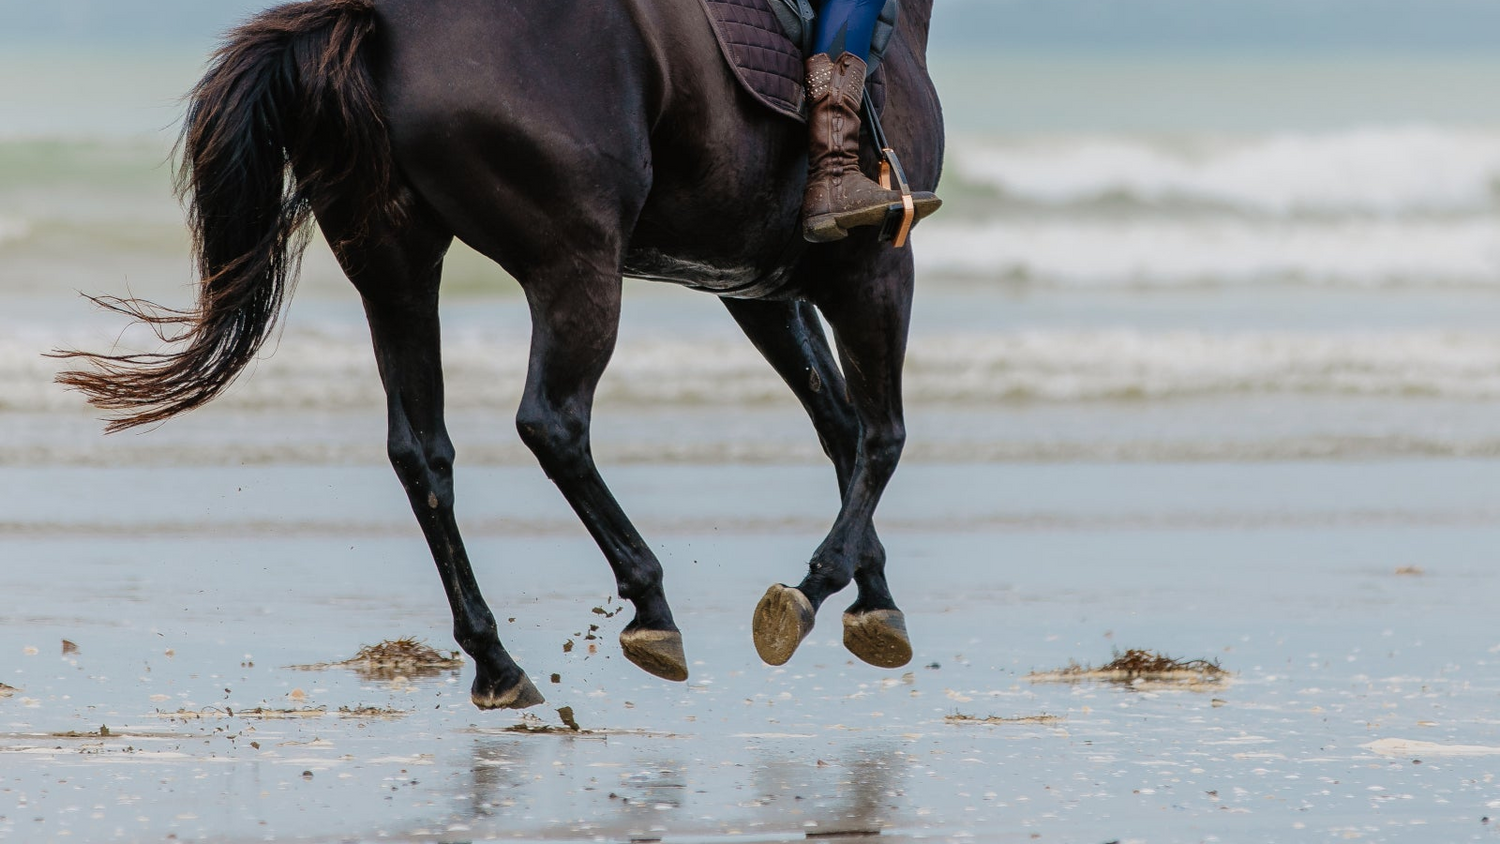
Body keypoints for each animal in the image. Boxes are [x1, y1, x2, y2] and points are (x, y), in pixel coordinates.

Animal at [56, 0, 944, 711]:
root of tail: (378, 22)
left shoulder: (759, 287)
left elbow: (842, 427)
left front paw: (873, 595)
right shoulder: (877, 267)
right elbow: (884, 435)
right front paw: (818, 588)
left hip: (395, 269)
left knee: (423, 453)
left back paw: (495, 660)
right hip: (576, 265)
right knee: (553, 424)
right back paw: (650, 607)